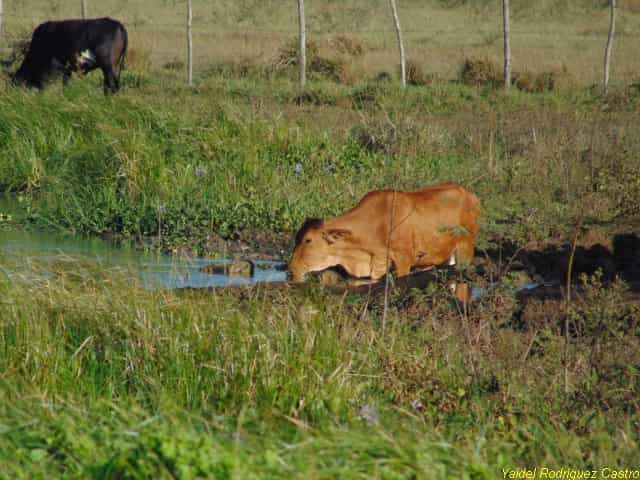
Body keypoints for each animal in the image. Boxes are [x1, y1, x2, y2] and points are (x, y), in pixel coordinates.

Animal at [288, 184, 478, 300]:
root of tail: (470, 195)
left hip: (465, 250)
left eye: (308, 240)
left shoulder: (404, 260)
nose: (291, 269)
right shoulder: (377, 264)